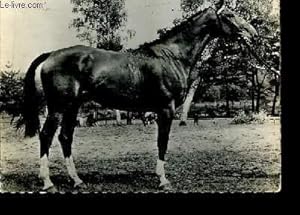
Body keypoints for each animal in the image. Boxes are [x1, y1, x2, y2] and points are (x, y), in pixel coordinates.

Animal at [19, 1, 256, 190]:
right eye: (229, 15)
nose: (252, 33)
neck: (172, 56)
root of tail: (51, 54)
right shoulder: (166, 109)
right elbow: (162, 143)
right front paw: (163, 180)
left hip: (73, 106)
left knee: (65, 137)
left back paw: (77, 180)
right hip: (58, 106)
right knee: (46, 135)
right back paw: (47, 182)